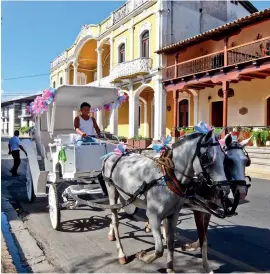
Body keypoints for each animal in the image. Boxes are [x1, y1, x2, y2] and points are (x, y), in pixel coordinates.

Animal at [101, 130, 230, 272]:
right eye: (207, 157)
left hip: (124, 196)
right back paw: (121, 253)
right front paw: (142, 256)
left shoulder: (173, 214)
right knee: (115, 220)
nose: (224, 191)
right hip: (112, 192)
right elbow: (159, 250)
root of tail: (113, 155)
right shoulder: (153, 216)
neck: (168, 177)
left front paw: (170, 268)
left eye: (225, 158)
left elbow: (170, 242)